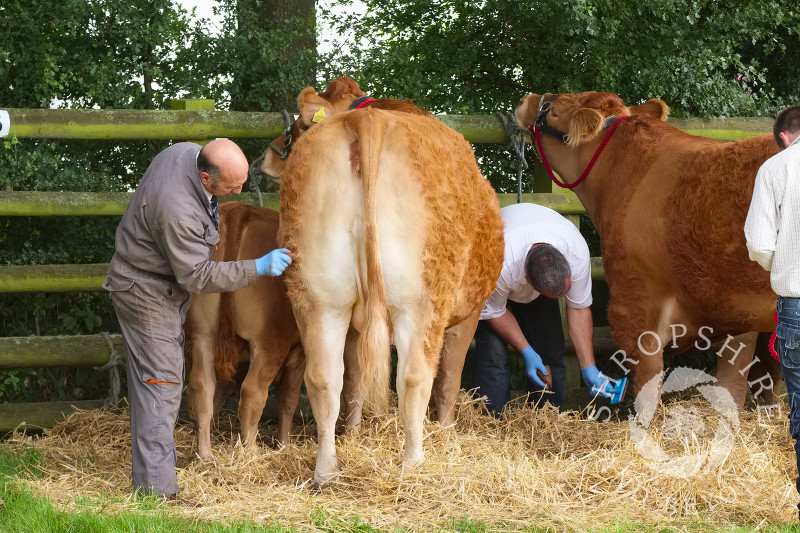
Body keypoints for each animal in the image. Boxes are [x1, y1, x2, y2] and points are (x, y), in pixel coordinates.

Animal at [184, 202, 306, 460]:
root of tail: (240, 209)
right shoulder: (299, 352)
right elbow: (288, 399)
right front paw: (283, 444)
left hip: (202, 334)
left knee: (200, 387)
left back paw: (205, 455)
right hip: (269, 342)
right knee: (252, 394)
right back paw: (250, 453)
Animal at [278, 92, 504, 486]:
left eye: (295, 129)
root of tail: (369, 119)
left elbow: (355, 380)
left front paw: (354, 434)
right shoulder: (469, 313)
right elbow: (449, 379)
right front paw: (447, 435)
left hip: (317, 298)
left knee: (324, 379)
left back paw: (327, 470)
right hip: (422, 301)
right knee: (414, 378)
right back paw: (413, 465)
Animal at [512, 91, 780, 408]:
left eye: (552, 111)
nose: (526, 98)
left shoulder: (634, 311)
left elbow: (648, 397)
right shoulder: (739, 319)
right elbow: (737, 390)